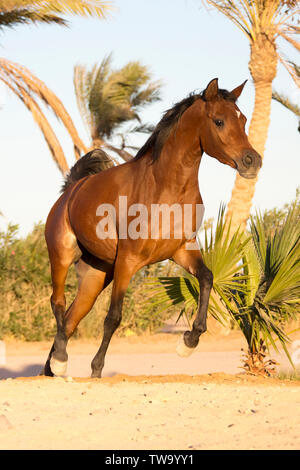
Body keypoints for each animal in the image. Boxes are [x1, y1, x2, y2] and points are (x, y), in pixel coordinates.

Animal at [41, 78, 260, 378]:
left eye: (244, 119)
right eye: (219, 121)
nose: (253, 161)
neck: (165, 187)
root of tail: (71, 191)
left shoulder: (182, 250)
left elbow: (207, 278)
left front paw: (188, 342)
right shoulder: (128, 261)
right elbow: (114, 317)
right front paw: (96, 369)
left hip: (96, 276)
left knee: (72, 317)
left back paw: (52, 368)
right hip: (61, 257)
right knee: (59, 304)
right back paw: (61, 360)